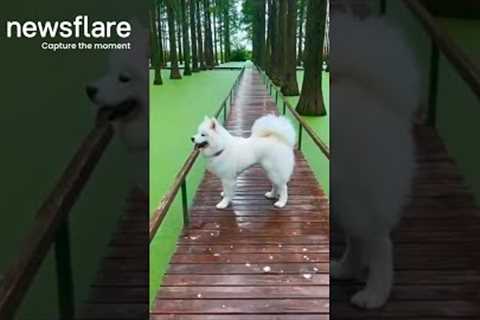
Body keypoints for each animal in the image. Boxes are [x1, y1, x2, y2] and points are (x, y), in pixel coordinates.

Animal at [330, 13, 420, 308]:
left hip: (356, 194)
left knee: (380, 244)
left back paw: (374, 295)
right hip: (346, 196)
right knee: (359, 240)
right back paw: (344, 270)